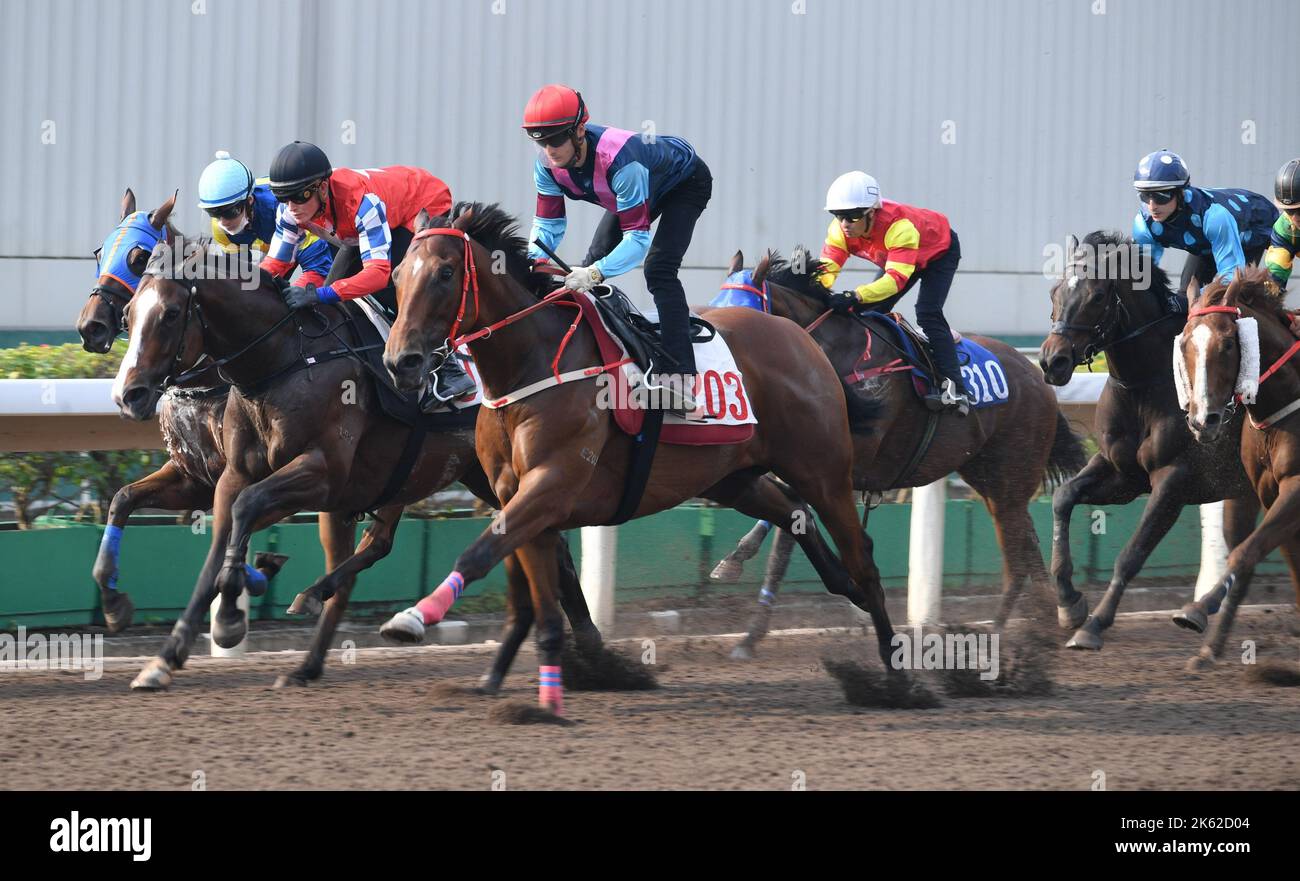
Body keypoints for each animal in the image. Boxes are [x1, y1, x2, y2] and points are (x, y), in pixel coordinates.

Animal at [110, 235, 598, 696]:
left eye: (171, 313)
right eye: (129, 314)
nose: (128, 394)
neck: (283, 360)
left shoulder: (323, 472)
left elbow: (247, 509)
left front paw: (231, 617)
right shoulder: (230, 476)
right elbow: (203, 543)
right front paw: (163, 656)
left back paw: (592, 650)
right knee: (380, 548)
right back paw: (308, 646)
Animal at [377, 204, 904, 712]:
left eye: (446, 273)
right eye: (398, 273)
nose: (401, 362)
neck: (530, 364)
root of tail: (801, 337)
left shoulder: (552, 483)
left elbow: (481, 552)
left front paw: (414, 616)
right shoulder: (514, 494)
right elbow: (527, 597)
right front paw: (510, 686)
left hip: (823, 471)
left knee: (863, 557)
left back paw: (895, 675)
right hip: (731, 477)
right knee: (795, 514)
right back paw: (835, 589)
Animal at [707, 248, 1081, 654]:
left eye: (738, 316)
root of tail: (1039, 377)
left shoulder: (839, 463)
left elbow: (790, 516)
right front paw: (748, 623)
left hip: (1011, 476)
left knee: (1018, 549)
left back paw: (1011, 631)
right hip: (989, 479)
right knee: (1023, 542)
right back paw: (1036, 623)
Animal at [1034, 231, 1258, 652]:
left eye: (1097, 297)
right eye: (1054, 291)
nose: (1052, 362)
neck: (1146, 382)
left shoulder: (1173, 479)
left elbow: (1131, 554)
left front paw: (1093, 625)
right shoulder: (1123, 473)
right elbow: (1063, 498)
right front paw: (1069, 603)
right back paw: (1200, 608)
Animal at [1180, 268, 1300, 670]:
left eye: (1229, 344)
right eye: (1185, 344)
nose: (1203, 421)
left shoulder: (1297, 486)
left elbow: (1245, 552)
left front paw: (1198, 609)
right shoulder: (1267, 491)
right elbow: (1266, 554)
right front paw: (1208, 648)